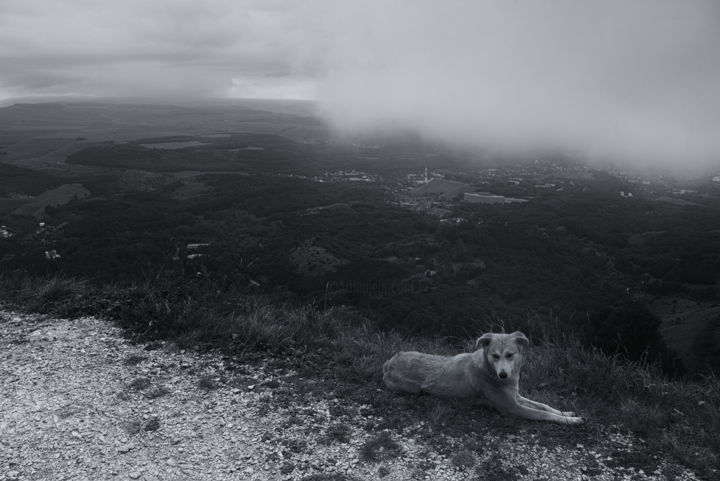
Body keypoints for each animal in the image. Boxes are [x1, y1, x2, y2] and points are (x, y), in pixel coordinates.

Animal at [386, 330, 584, 424]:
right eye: (495, 356)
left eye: (510, 355)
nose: (503, 374)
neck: (490, 371)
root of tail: (390, 360)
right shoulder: (513, 408)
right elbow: (543, 414)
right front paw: (571, 420)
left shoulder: (516, 397)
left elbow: (544, 406)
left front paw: (566, 413)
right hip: (411, 389)